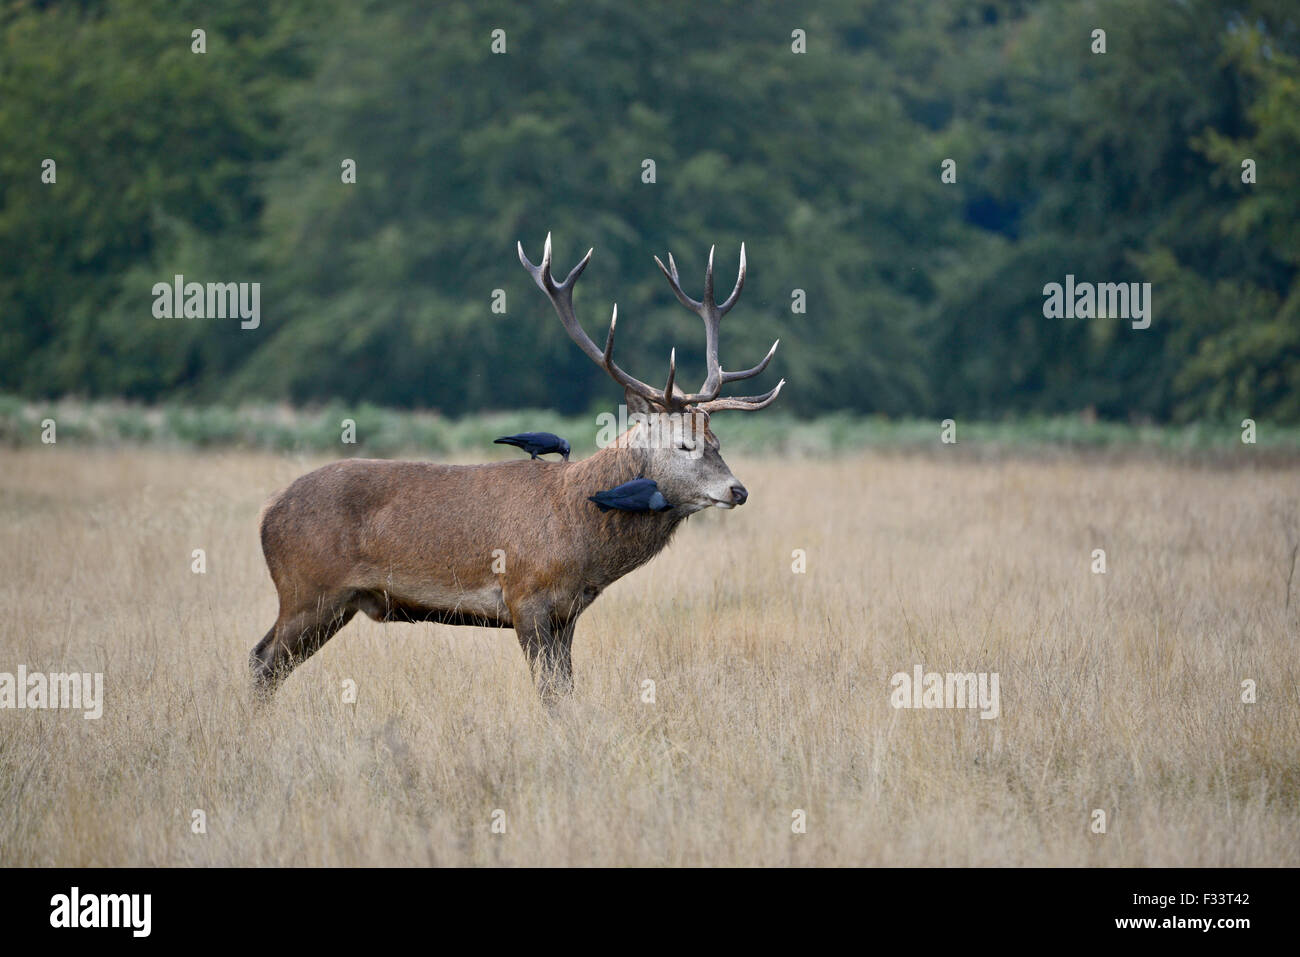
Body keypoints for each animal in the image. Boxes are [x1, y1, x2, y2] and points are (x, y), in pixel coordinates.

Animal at [250, 234, 784, 703]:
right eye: (683, 443)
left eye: (717, 440)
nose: (738, 490)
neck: (580, 536)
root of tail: (267, 514)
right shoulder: (525, 596)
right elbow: (549, 694)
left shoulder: (568, 613)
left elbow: (566, 691)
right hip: (307, 589)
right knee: (262, 660)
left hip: (335, 603)